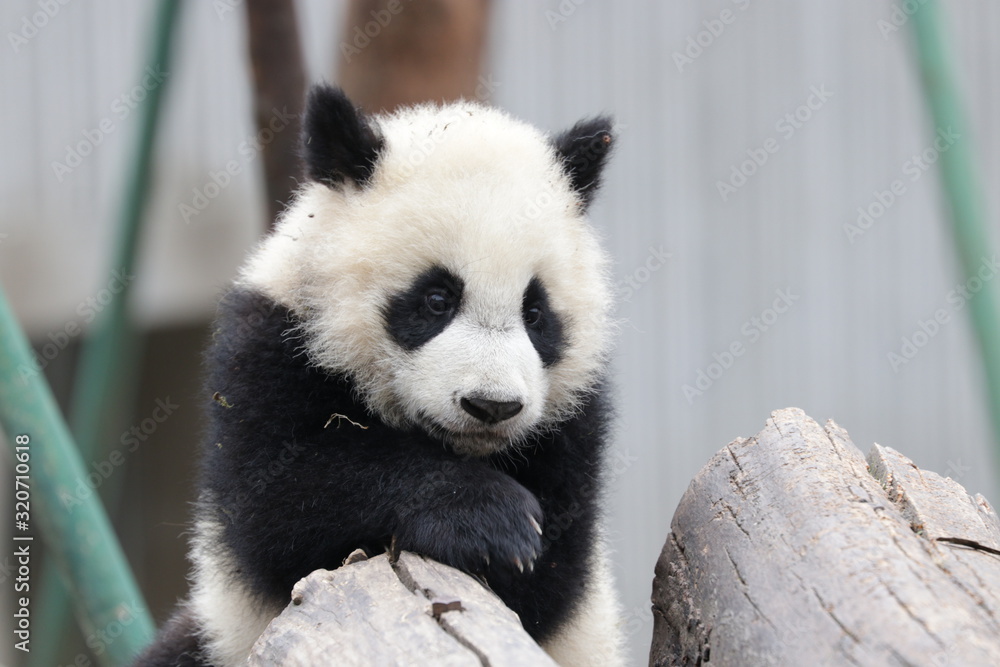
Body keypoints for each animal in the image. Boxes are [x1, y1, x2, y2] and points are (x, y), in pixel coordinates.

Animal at [136, 84, 624, 667]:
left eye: (535, 312)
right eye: (436, 299)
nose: (491, 406)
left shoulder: (575, 424)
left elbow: (550, 580)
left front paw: (518, 539)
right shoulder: (269, 347)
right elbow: (277, 505)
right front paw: (491, 519)